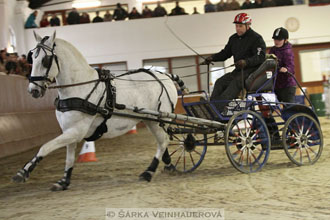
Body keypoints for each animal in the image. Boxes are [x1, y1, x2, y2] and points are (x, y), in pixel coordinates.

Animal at [12, 31, 180, 191]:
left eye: (45, 60)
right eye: (32, 58)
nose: (33, 91)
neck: (79, 87)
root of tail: (164, 76)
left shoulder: (76, 131)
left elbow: (45, 146)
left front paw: (22, 172)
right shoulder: (69, 130)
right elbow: (69, 157)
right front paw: (64, 181)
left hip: (158, 120)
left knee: (163, 141)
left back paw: (148, 172)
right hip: (151, 120)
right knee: (163, 140)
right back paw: (168, 165)